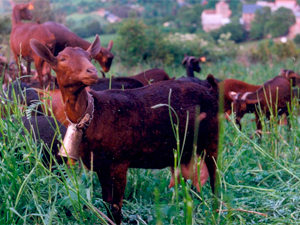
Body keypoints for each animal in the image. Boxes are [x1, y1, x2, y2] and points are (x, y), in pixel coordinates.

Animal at [29, 35, 218, 225]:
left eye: (89, 57)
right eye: (62, 59)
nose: (92, 72)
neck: (93, 114)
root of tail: (211, 91)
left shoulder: (119, 162)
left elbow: (116, 206)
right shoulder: (101, 165)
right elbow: (107, 203)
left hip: (212, 142)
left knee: (215, 178)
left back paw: (216, 211)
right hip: (187, 150)